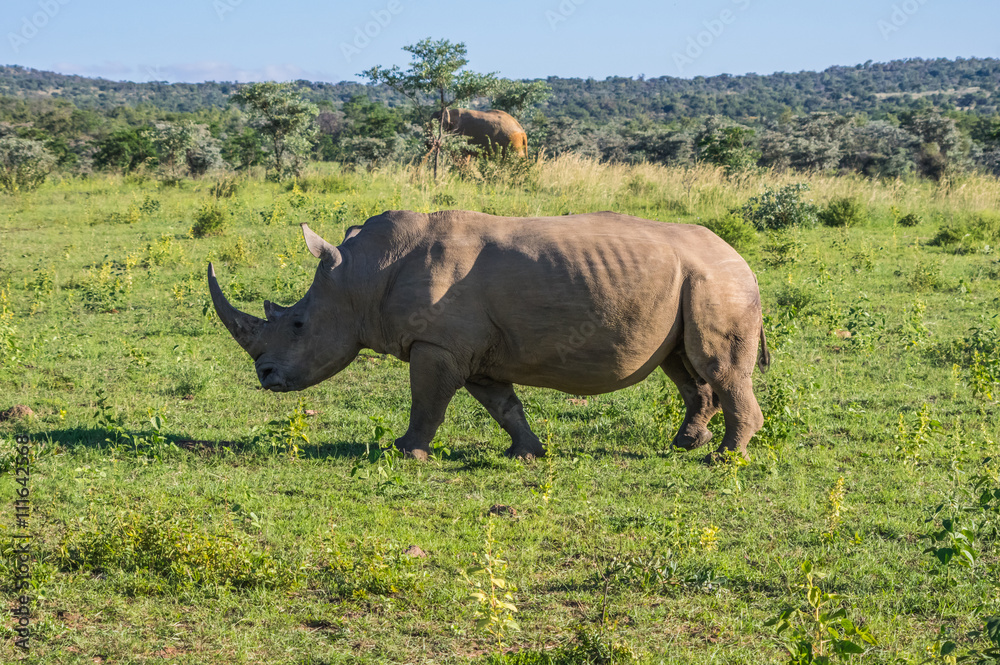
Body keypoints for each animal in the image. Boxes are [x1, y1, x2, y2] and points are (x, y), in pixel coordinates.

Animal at [208, 210, 770, 461]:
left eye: (298, 325)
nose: (265, 375)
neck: (363, 277)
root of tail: (741, 256)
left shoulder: (436, 345)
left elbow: (426, 402)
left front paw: (404, 452)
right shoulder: (469, 350)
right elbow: (503, 405)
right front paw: (526, 453)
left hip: (718, 282)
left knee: (716, 366)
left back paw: (724, 458)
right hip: (695, 281)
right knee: (681, 365)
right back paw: (685, 444)